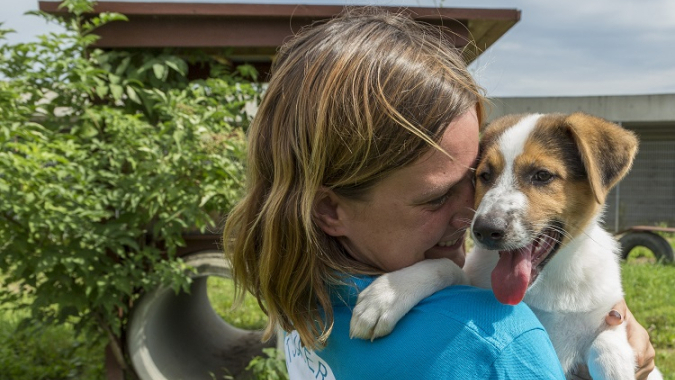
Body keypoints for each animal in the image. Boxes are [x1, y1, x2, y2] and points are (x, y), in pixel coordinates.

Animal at [352, 113, 664, 380]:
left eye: (542, 175)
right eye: (485, 176)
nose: (483, 230)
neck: (547, 287)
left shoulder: (610, 315)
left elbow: (606, 346)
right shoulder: (475, 278)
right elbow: (446, 267)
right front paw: (388, 294)